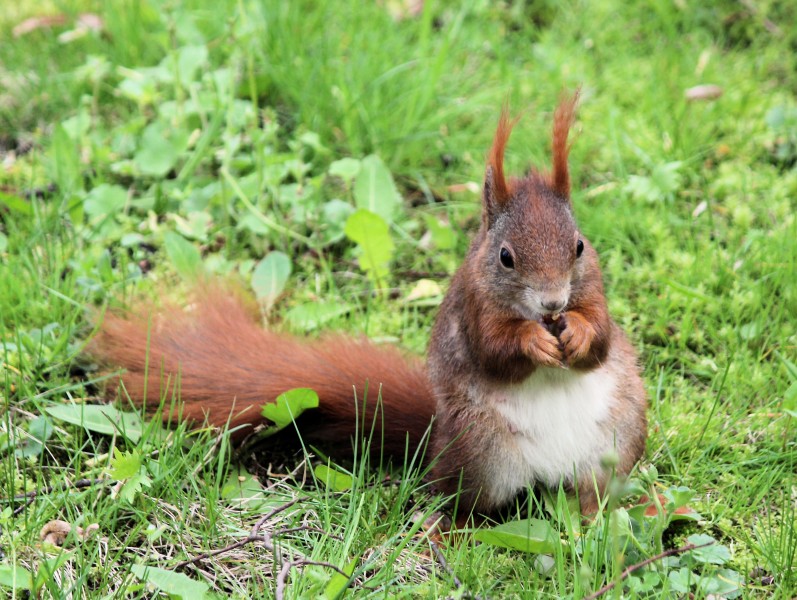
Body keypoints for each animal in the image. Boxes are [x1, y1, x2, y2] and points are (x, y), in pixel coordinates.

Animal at [90, 94, 648, 516]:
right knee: (461, 505)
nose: (553, 301)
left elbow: (601, 337)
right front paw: (533, 340)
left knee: (593, 499)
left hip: (617, 441)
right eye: (506, 257)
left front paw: (577, 331)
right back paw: (442, 532)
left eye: (579, 246)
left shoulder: (593, 291)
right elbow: (494, 351)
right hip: (482, 452)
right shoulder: (472, 309)